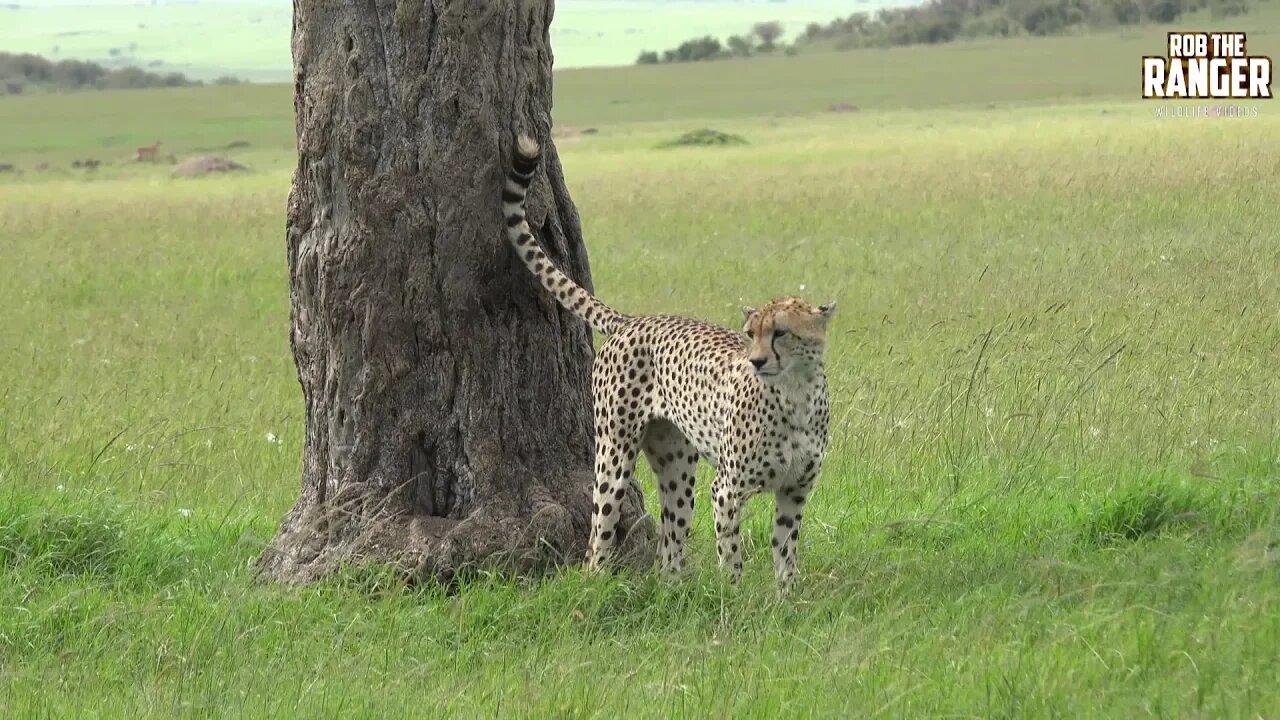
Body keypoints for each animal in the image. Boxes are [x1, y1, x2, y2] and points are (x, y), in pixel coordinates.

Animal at [499, 134, 829, 589]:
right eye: (750, 334)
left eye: (781, 332)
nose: (758, 361)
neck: (795, 394)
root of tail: (633, 319)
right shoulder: (727, 490)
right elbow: (731, 555)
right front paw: (735, 596)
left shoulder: (794, 490)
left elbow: (785, 553)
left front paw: (787, 596)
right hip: (614, 451)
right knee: (599, 534)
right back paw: (599, 581)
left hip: (676, 463)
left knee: (671, 541)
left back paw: (675, 586)